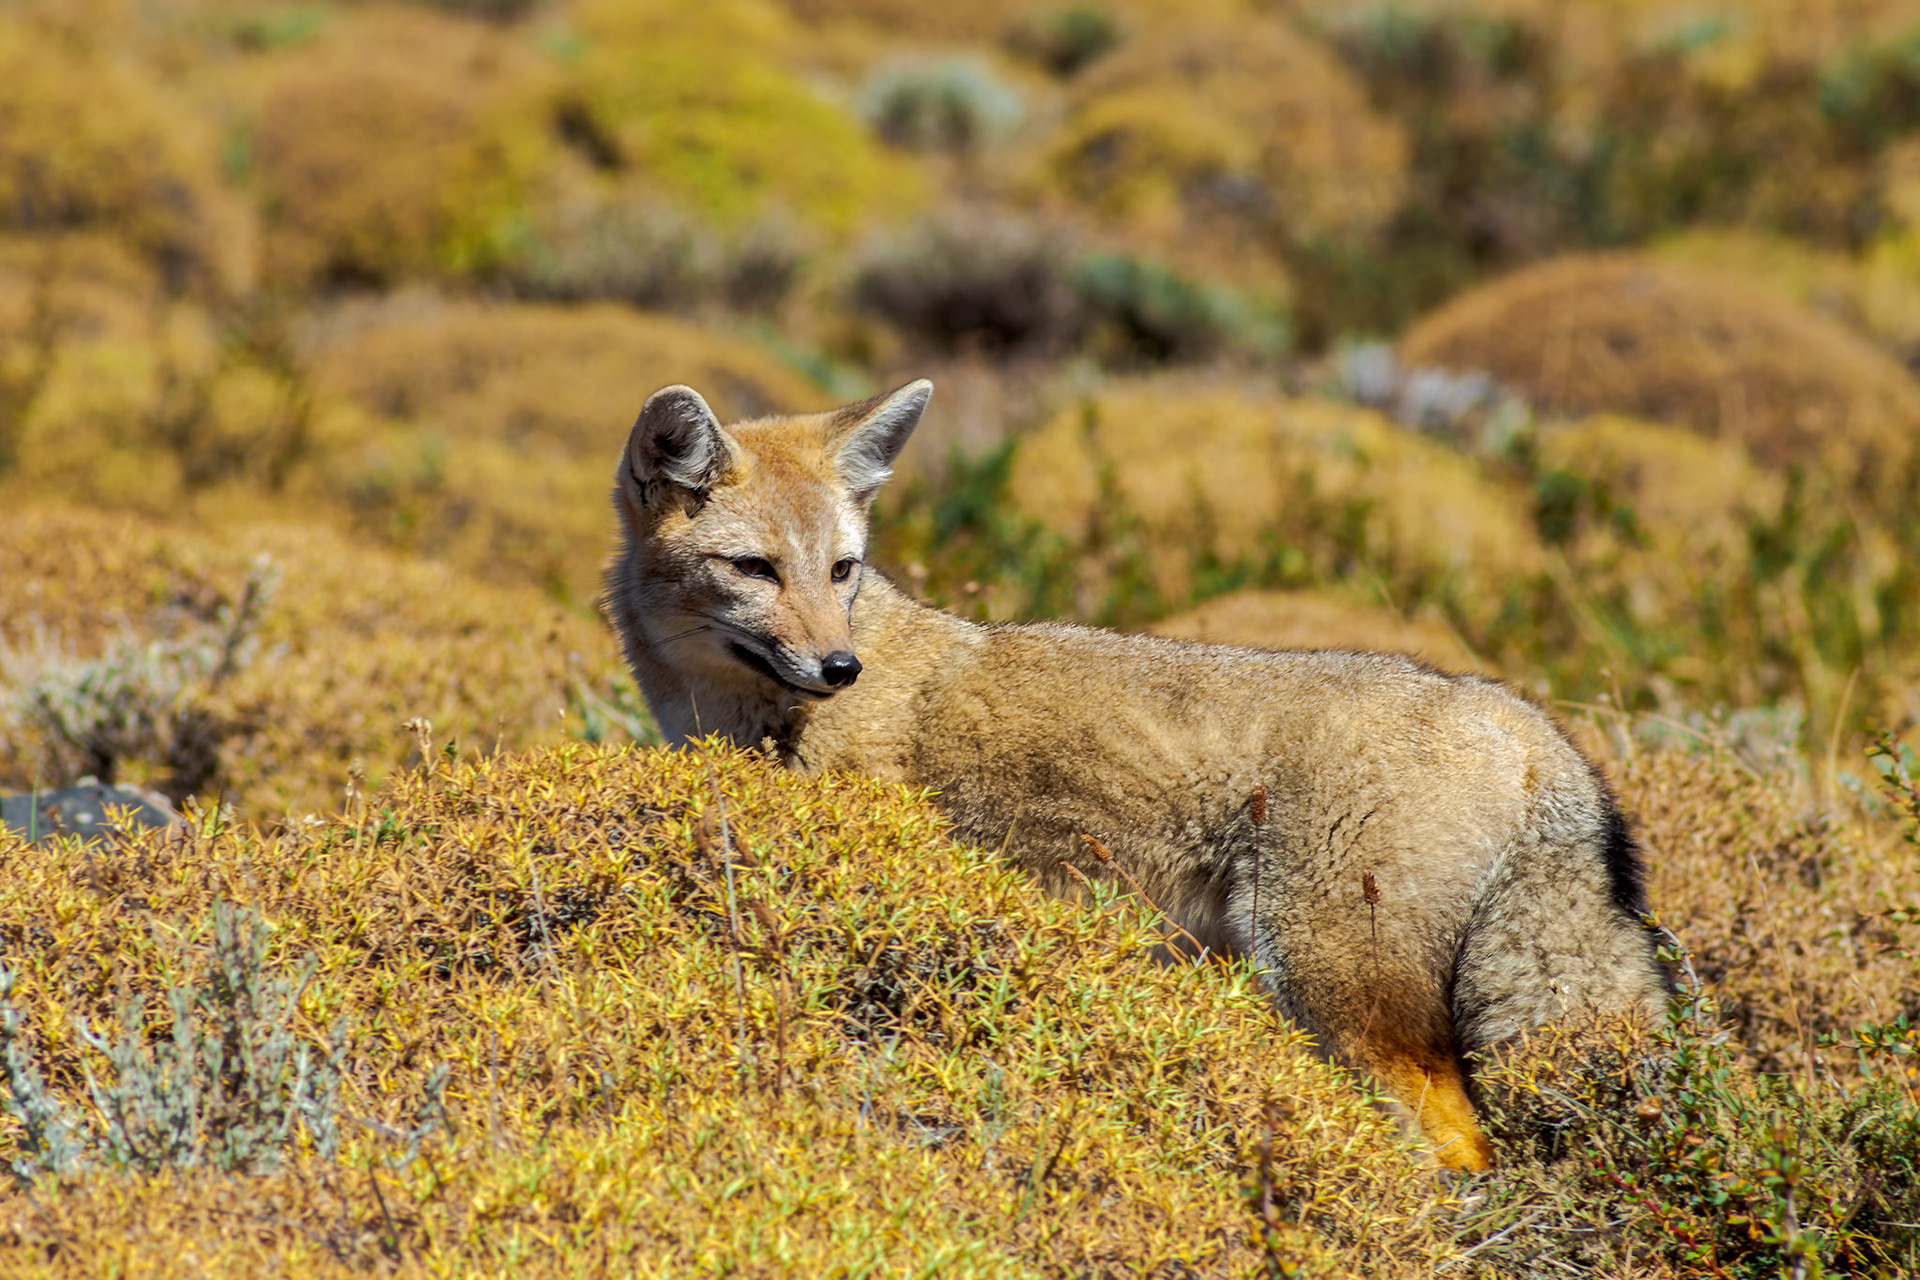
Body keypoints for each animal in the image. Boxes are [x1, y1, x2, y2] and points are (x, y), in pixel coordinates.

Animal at [603, 378, 1670, 1173]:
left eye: (840, 571)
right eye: (756, 568)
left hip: (1332, 990)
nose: (839, 667)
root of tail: (1533, 728)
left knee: (1459, 1145)